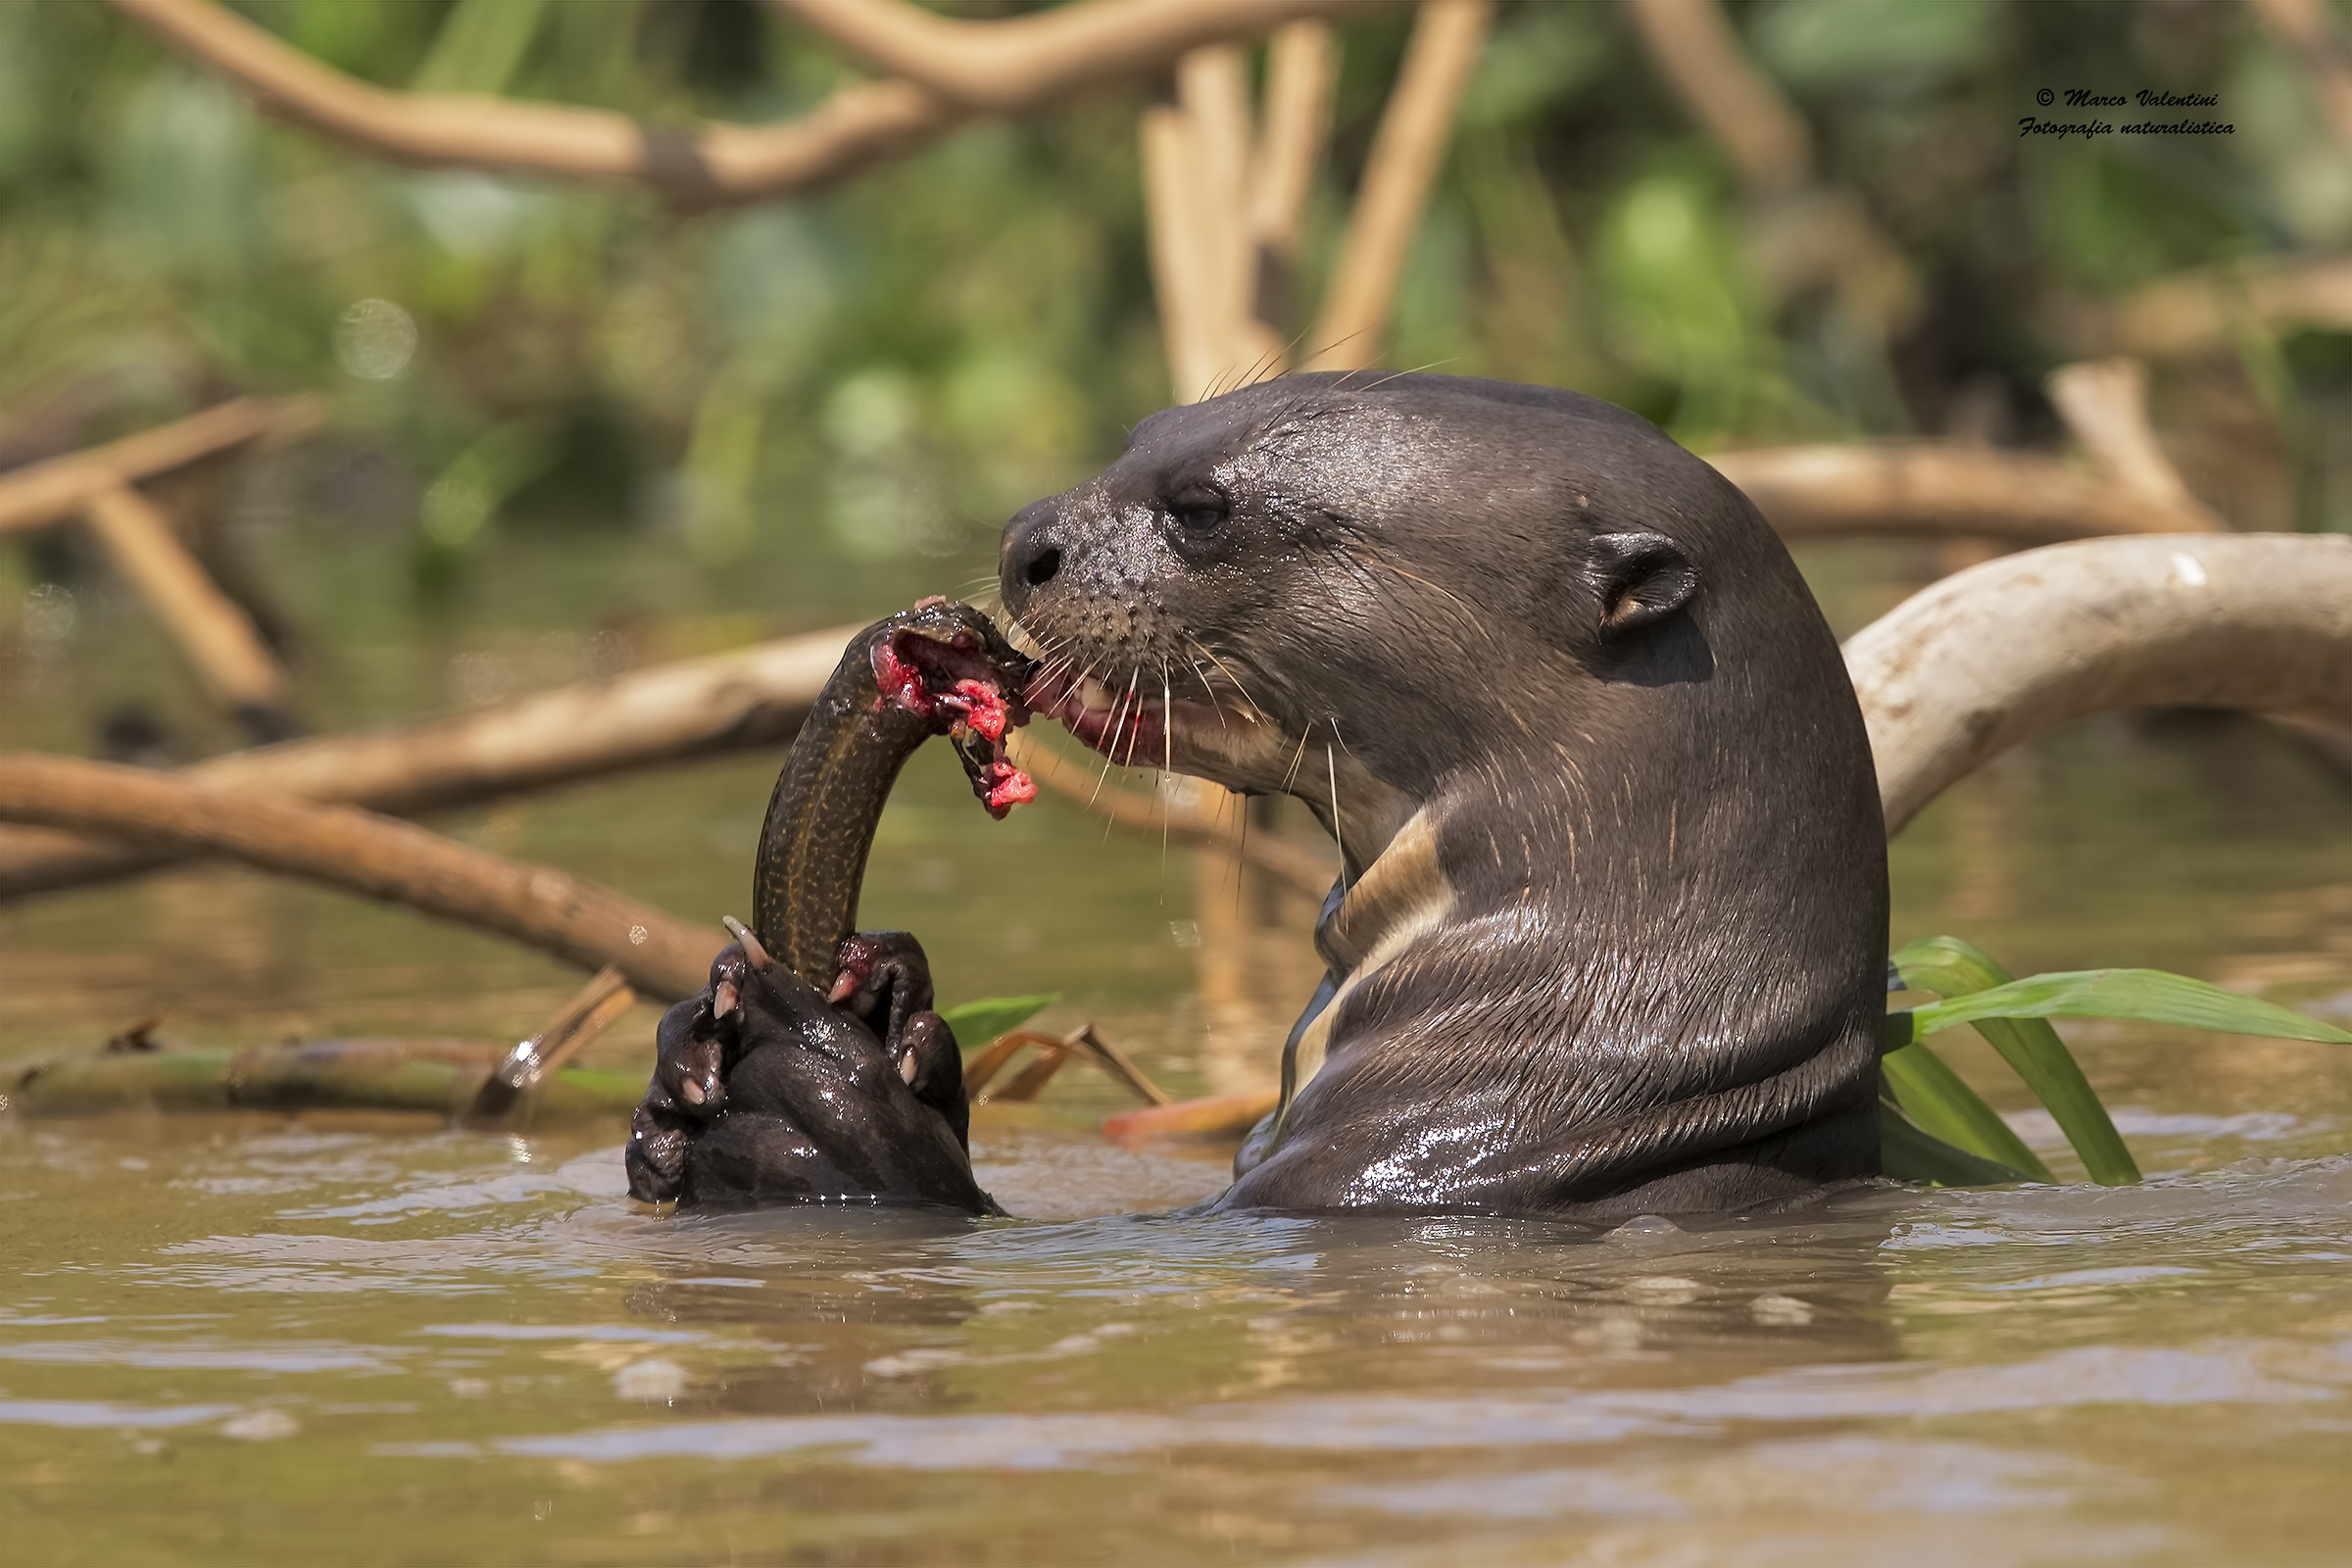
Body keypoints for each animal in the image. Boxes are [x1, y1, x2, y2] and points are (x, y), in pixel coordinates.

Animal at [632, 373, 1890, 1219]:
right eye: (1139, 434)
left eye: (1202, 508)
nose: (1024, 539)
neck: (1576, 1054)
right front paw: (862, 1012)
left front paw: (812, 1086)